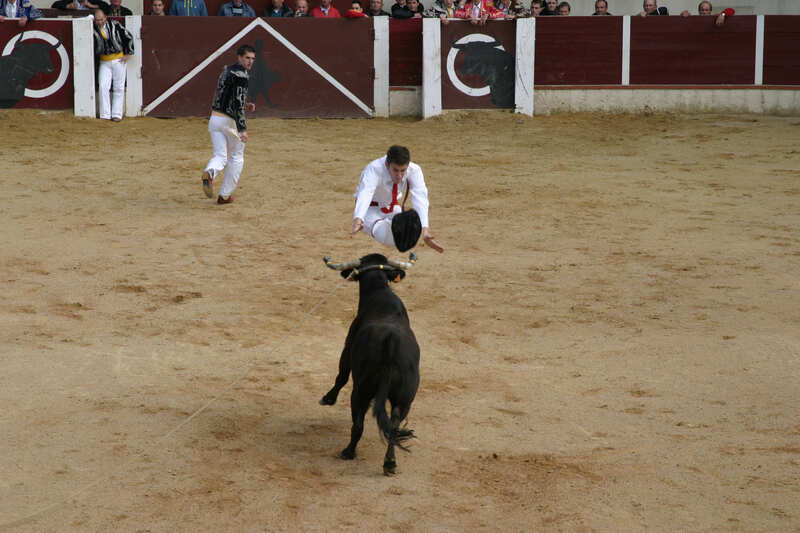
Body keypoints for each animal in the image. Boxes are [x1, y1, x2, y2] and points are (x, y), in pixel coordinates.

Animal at [320, 254, 422, 474]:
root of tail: (391, 344)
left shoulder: (347, 347)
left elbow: (341, 376)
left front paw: (328, 398)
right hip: (405, 399)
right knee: (393, 426)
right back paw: (390, 463)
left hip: (361, 391)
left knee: (358, 424)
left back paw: (348, 452)